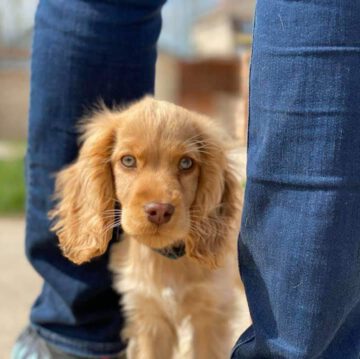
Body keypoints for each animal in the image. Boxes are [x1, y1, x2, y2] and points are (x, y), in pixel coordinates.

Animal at [50, 97, 242, 359]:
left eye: (186, 163)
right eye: (128, 160)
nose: (159, 210)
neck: (169, 260)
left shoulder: (211, 313)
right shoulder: (149, 318)